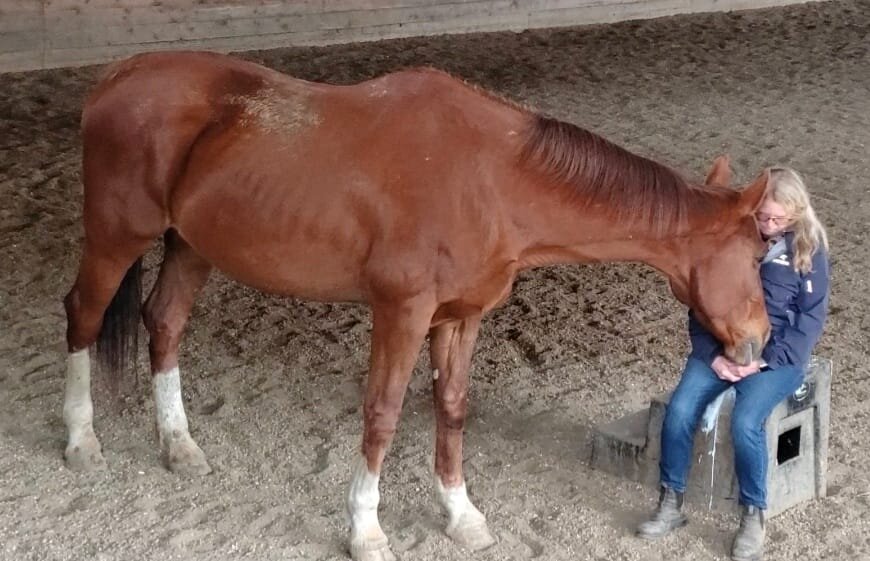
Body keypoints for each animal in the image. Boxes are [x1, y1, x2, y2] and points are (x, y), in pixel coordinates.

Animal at [62, 51, 770, 561]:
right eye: (760, 252)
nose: (759, 340)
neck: (491, 179)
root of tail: (118, 75)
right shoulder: (401, 313)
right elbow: (383, 413)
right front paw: (365, 530)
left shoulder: (460, 317)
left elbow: (451, 409)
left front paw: (461, 516)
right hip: (115, 238)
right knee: (83, 317)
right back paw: (81, 440)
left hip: (190, 246)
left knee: (165, 324)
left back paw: (178, 446)